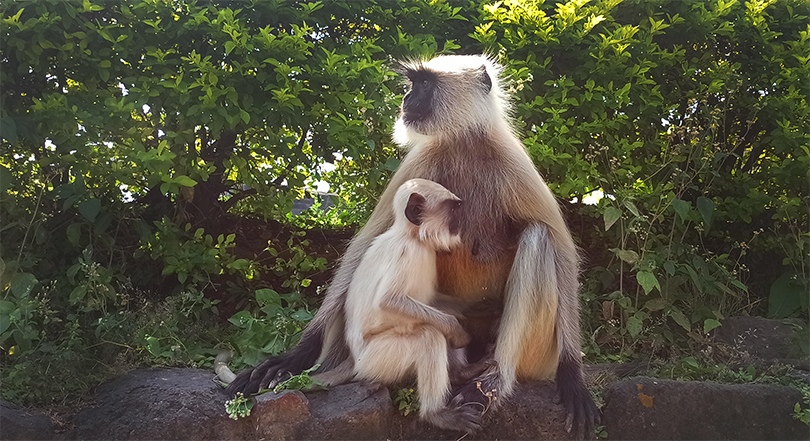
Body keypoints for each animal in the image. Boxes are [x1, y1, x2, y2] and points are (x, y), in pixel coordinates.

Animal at [227, 54, 600, 437]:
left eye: (423, 85)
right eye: (413, 83)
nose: (406, 99)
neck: (463, 144)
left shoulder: (513, 163)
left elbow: (564, 252)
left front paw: (573, 376)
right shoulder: (421, 160)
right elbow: (363, 245)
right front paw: (296, 356)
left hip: (540, 354)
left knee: (538, 236)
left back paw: (494, 380)